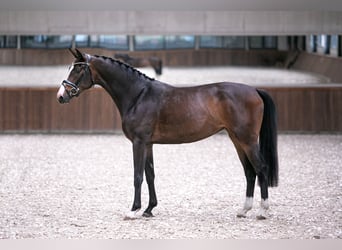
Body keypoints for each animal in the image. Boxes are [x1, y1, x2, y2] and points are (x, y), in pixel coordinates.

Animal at [56, 48, 278, 221]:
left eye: (78, 69)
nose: (61, 96)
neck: (138, 95)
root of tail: (254, 90)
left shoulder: (138, 142)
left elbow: (137, 176)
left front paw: (133, 210)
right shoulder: (148, 144)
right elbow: (150, 175)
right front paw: (149, 209)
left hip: (248, 140)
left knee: (261, 169)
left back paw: (262, 211)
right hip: (237, 140)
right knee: (249, 172)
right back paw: (244, 210)